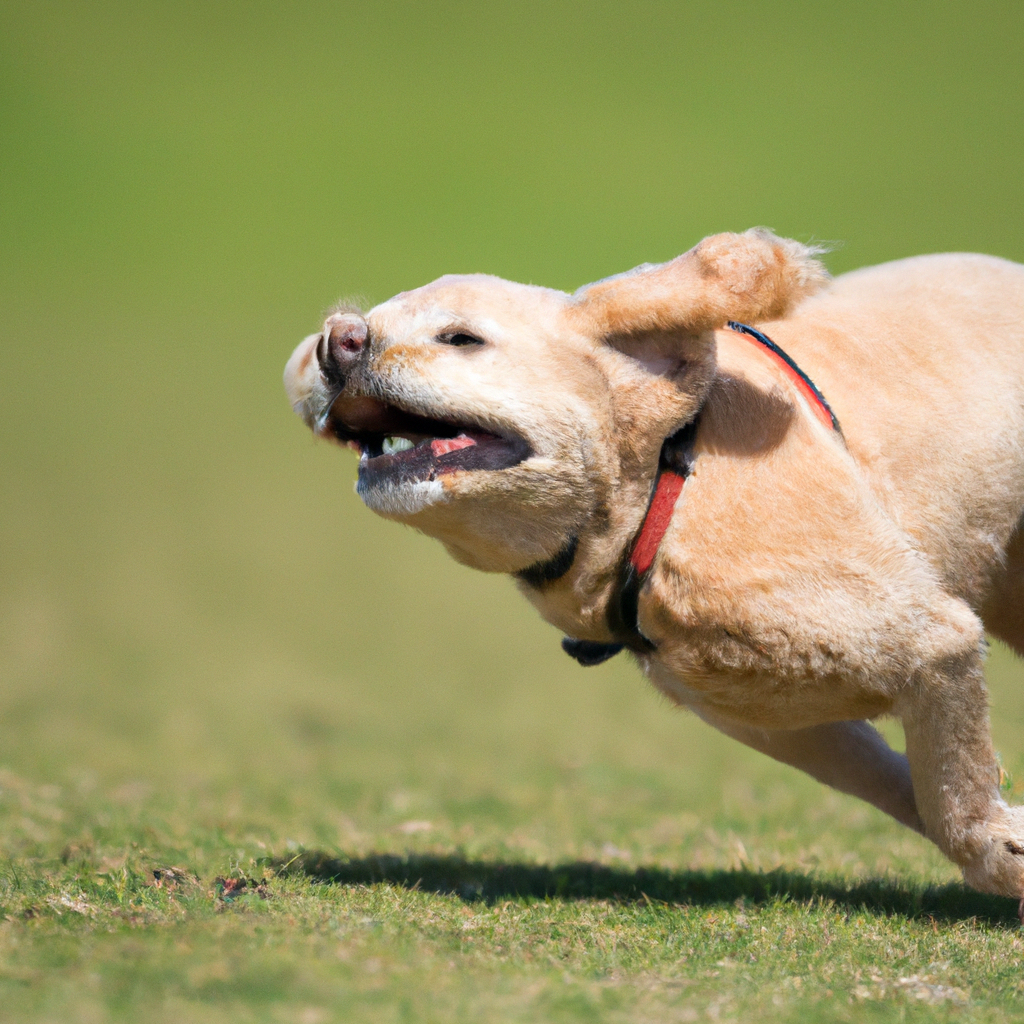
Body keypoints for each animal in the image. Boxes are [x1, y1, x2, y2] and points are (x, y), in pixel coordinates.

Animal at [282, 228, 1024, 901]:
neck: (663, 485)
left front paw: (998, 855)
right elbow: (906, 784)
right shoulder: (768, 715)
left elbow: (950, 787)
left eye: (461, 339)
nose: (336, 342)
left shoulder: (928, 638)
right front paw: (1008, 835)